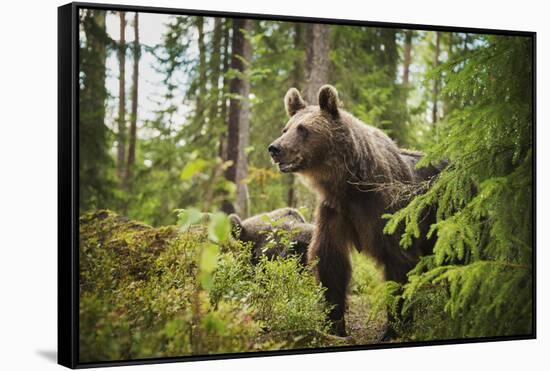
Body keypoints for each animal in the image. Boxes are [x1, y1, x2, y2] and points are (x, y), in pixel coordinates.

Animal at [268, 85, 444, 338]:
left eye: (303, 129)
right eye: (286, 128)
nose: (275, 148)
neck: (351, 184)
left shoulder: (388, 211)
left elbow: (399, 261)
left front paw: (394, 327)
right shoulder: (335, 211)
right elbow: (330, 260)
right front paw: (335, 324)